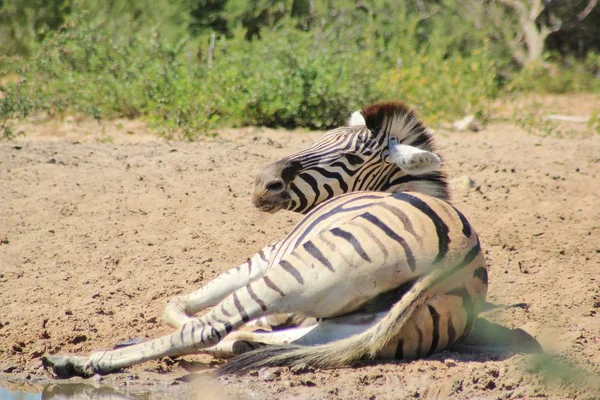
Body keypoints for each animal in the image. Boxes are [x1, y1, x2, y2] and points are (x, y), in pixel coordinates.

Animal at [42, 101, 488, 378]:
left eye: (352, 158)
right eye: (321, 136)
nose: (262, 184)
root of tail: (455, 256)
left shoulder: (266, 255)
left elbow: (180, 305)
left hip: (297, 271)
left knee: (209, 330)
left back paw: (82, 361)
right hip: (352, 323)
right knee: (269, 339)